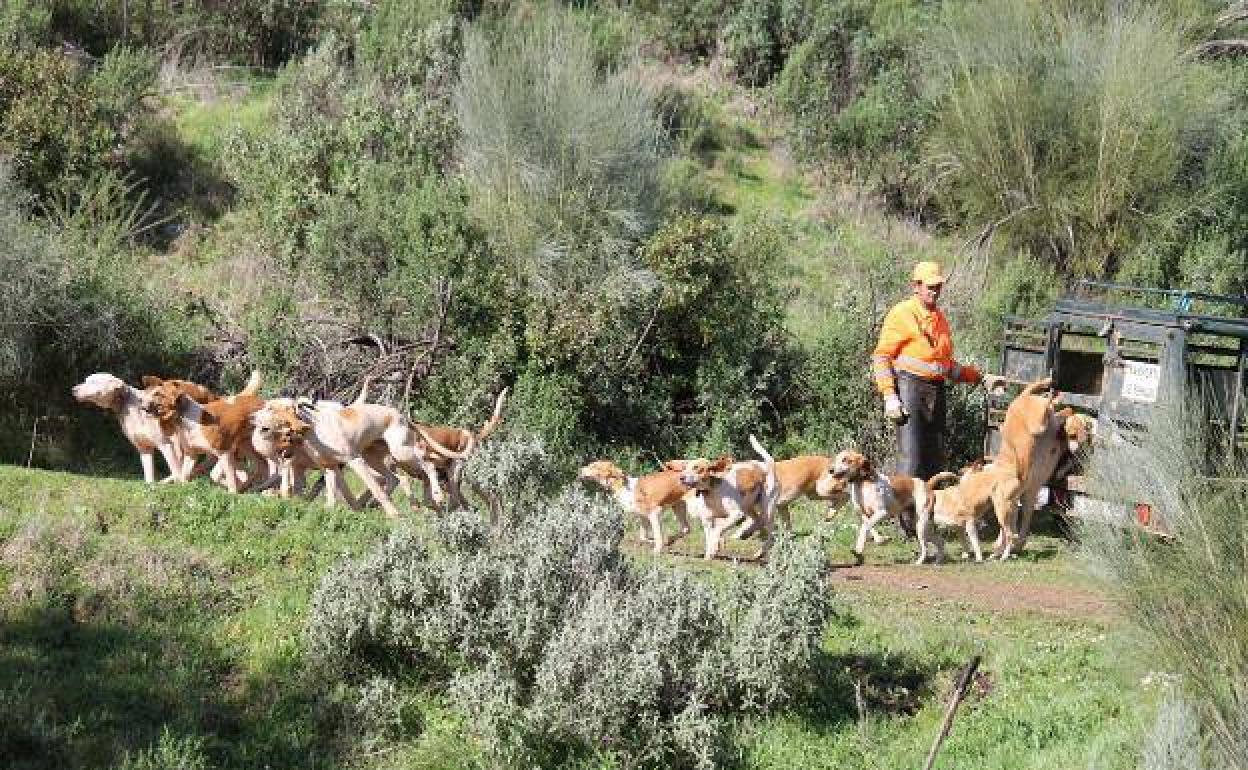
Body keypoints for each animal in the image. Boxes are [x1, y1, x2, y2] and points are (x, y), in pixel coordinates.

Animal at [72, 371, 217, 479]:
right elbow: (149, 479)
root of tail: (209, 393)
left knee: (206, 459)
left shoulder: (165, 445)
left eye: (92, 382)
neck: (131, 406)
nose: (73, 389)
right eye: (86, 380)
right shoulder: (144, 449)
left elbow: (176, 471)